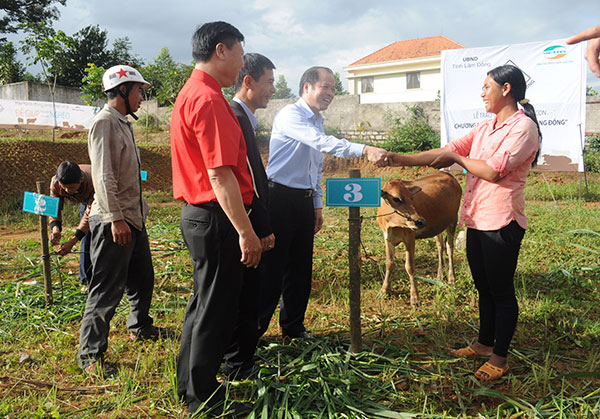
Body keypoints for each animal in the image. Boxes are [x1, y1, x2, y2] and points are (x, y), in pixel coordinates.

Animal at [378, 172, 462, 306]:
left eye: (412, 198)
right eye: (396, 198)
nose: (420, 221)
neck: (393, 225)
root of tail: (447, 174)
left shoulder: (410, 239)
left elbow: (410, 267)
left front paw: (415, 297)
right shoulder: (387, 238)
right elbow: (389, 263)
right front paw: (384, 290)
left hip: (453, 220)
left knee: (450, 248)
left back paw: (451, 279)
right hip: (438, 227)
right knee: (440, 246)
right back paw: (439, 275)